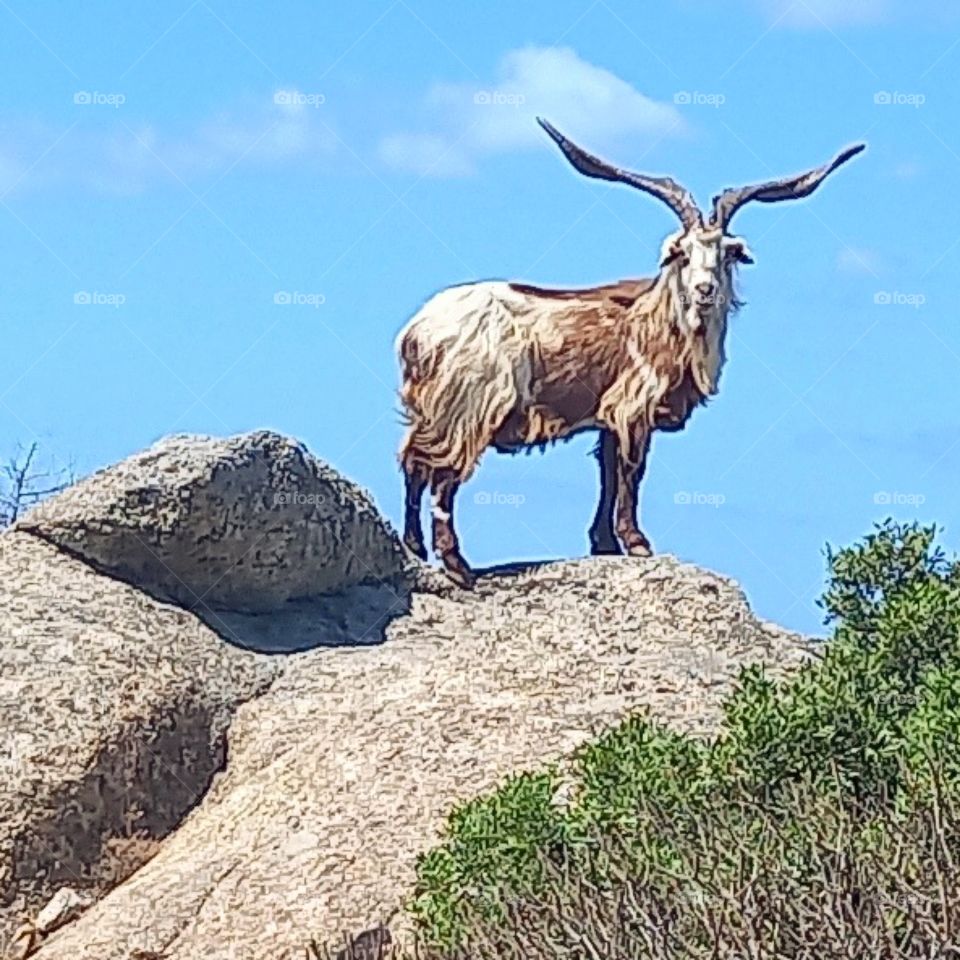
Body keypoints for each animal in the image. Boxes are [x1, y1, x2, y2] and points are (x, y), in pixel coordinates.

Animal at [396, 119, 865, 587]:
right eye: (682, 253)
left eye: (726, 253)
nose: (705, 289)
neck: (658, 320)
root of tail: (417, 333)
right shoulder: (633, 408)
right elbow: (631, 472)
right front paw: (637, 543)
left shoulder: (607, 414)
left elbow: (607, 473)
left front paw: (604, 544)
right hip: (470, 407)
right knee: (443, 475)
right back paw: (456, 564)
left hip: (434, 409)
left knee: (414, 461)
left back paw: (415, 548)